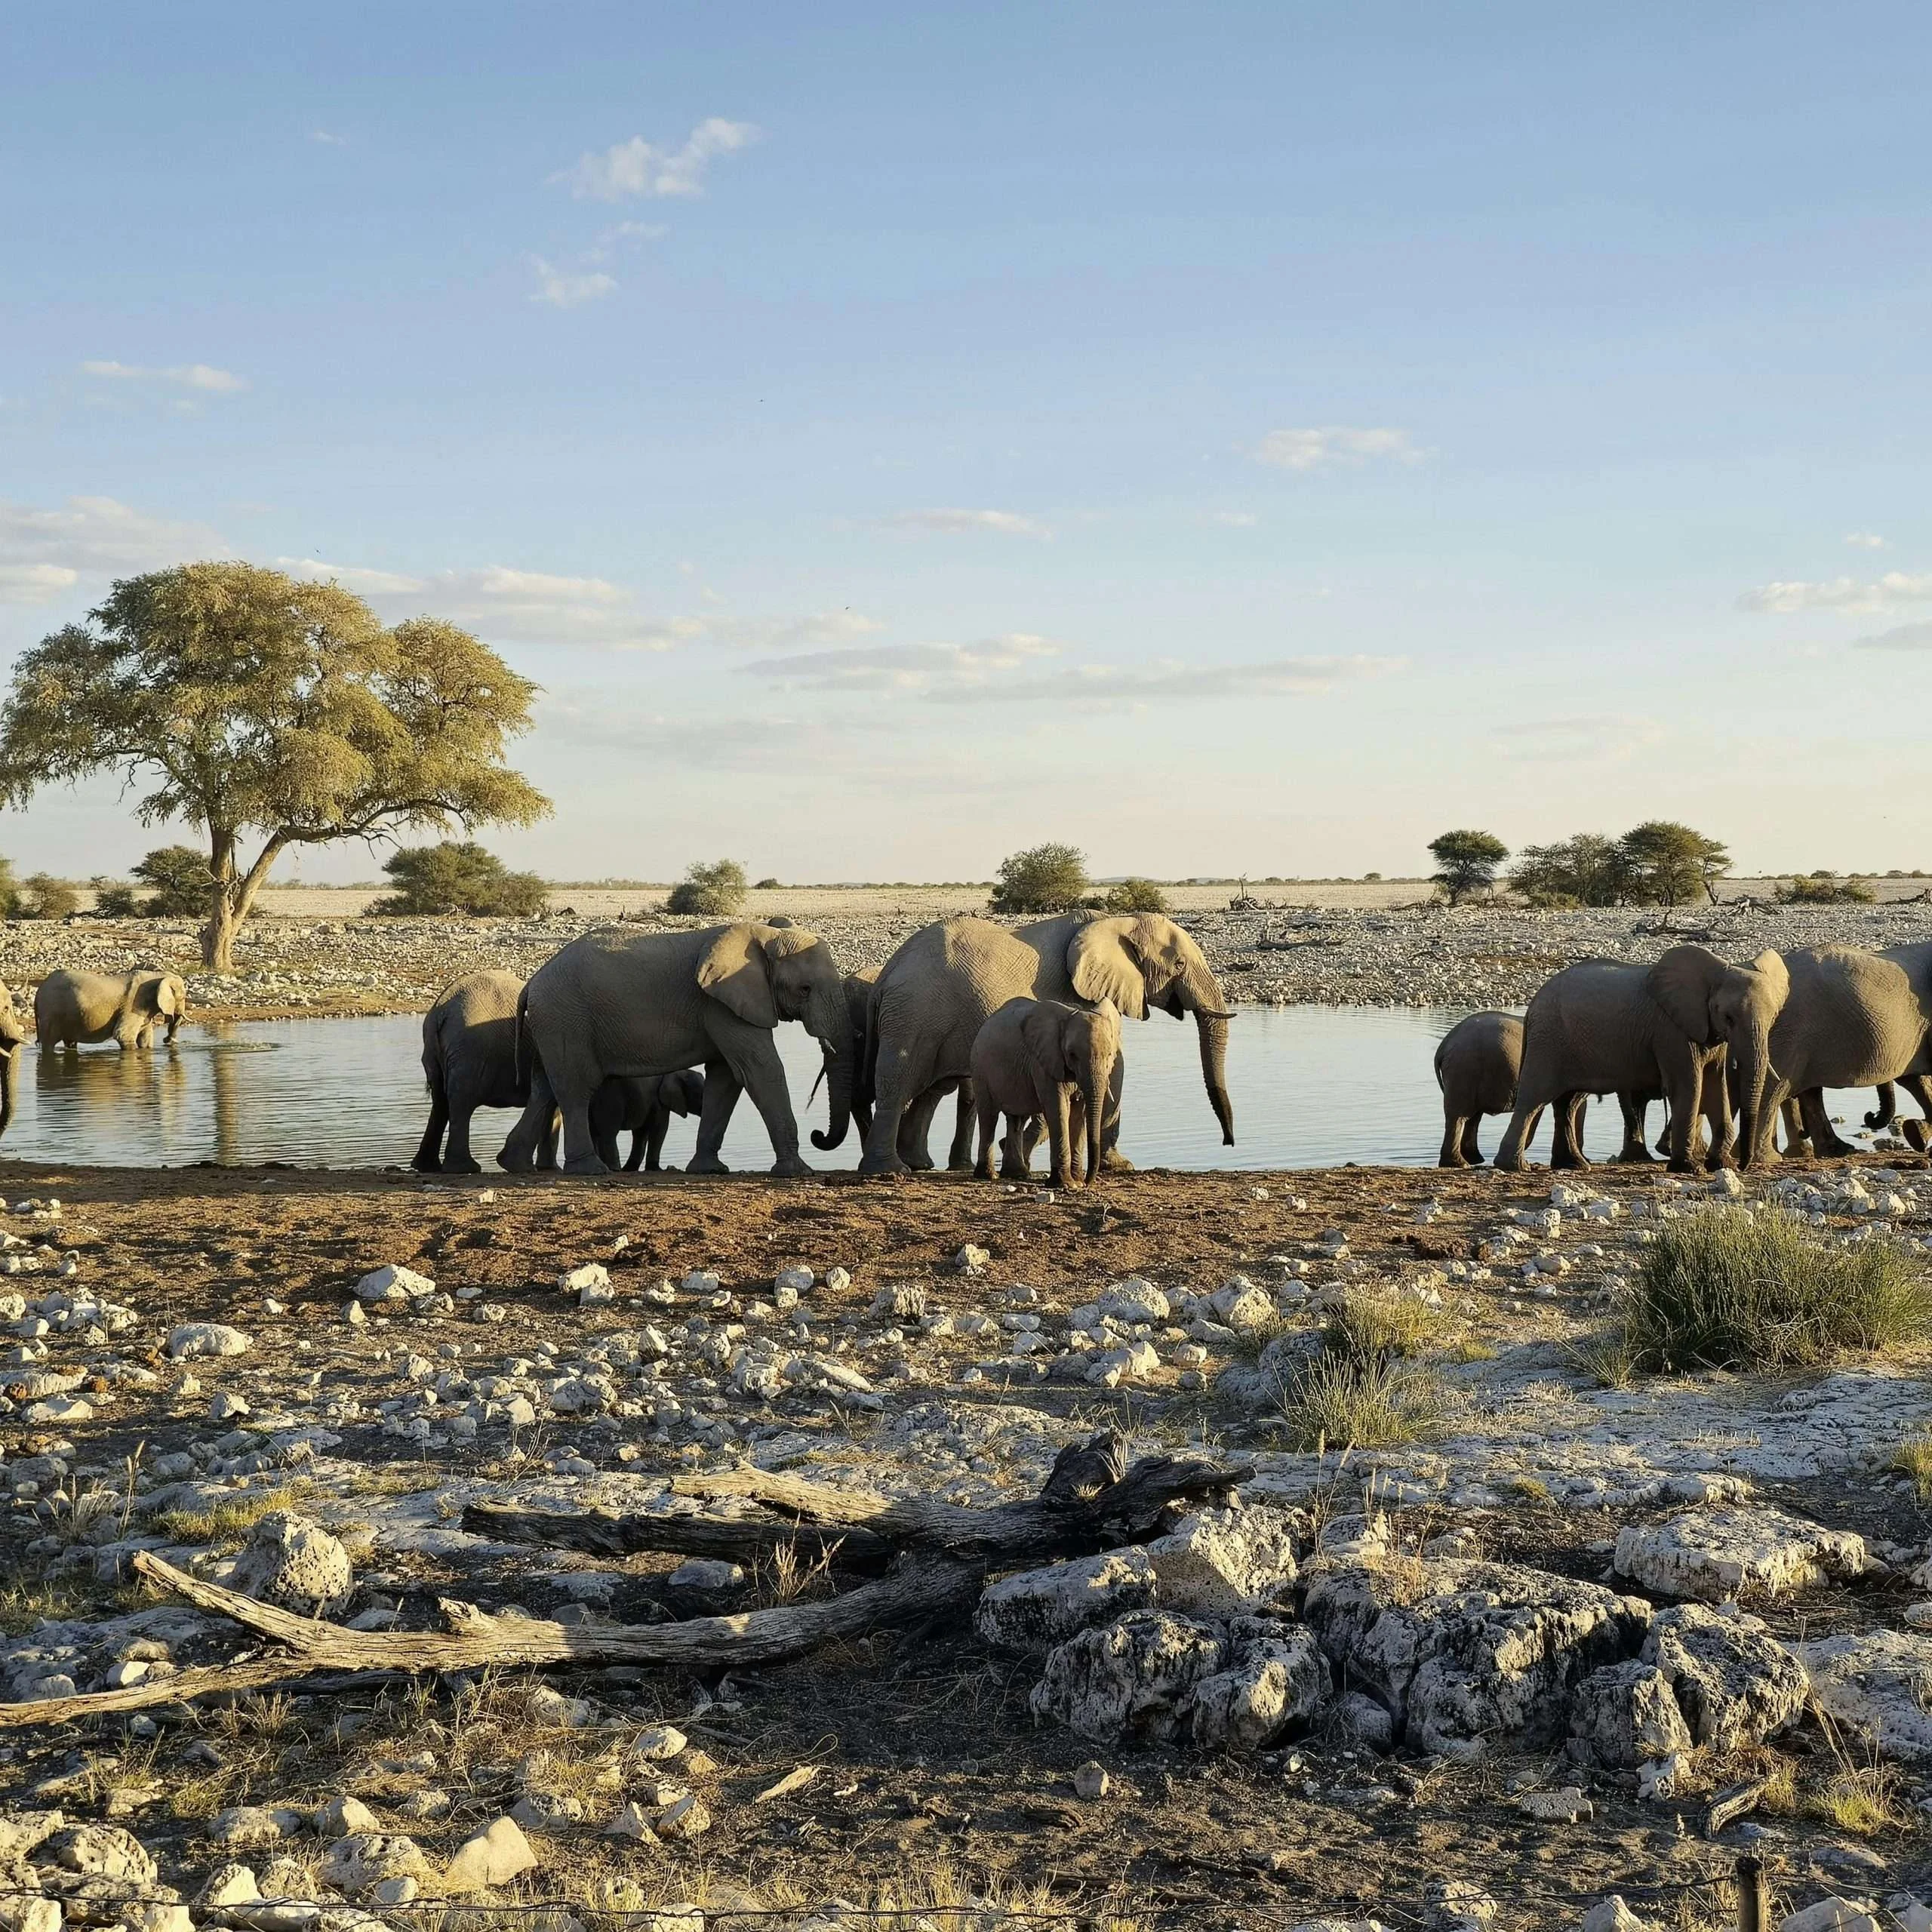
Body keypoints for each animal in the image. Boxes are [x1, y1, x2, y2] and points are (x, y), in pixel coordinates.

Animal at [34, 969, 187, 1051]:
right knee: (49, 1043)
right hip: (51, 1012)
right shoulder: (133, 1004)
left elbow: (145, 1038)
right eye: (184, 997)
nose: (167, 1040)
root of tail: (38, 992)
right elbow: (123, 1035)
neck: (157, 975)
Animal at [414, 970, 556, 1173]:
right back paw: (465, 1168)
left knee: (440, 1101)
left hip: (434, 1050)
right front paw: (550, 1168)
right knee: (461, 1102)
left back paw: (427, 1166)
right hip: (470, 1050)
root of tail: (440, 1011)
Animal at [589, 1068, 706, 1172]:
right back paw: (615, 1169)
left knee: (594, 1134)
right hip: (610, 1099)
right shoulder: (658, 1101)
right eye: (701, 1096)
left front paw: (630, 1169)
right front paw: (656, 1169)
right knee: (609, 1134)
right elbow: (660, 1129)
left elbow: (641, 1132)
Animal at [970, 997, 1121, 1190]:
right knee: (989, 1116)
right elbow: (1059, 1109)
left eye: (1110, 1054)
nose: (1088, 1182)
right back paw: (988, 1176)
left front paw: (1077, 1182)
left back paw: (1018, 1174)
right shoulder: (1044, 1063)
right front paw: (1066, 1184)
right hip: (980, 1068)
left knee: (1016, 1119)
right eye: (1072, 1054)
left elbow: (1078, 1113)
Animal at [1494, 945, 1788, 1173]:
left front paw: (1721, 1164)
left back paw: (1574, 1165)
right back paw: (1514, 1166)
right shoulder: (1671, 1031)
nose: (1744, 1166)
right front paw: (1689, 1168)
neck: (1713, 973)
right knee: (1534, 1098)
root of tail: (1532, 1006)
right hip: (1549, 1041)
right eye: (1728, 1017)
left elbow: (1716, 1087)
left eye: (1774, 1017)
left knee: (1568, 1102)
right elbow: (1689, 1087)